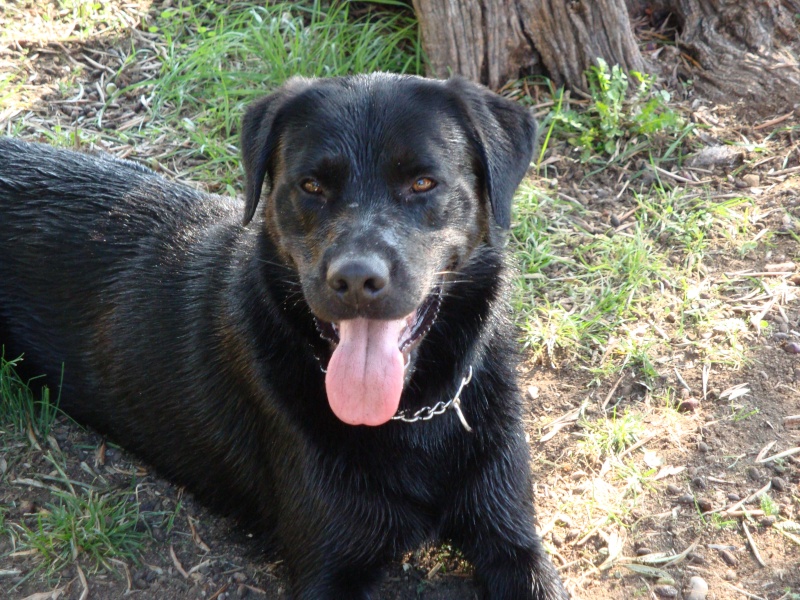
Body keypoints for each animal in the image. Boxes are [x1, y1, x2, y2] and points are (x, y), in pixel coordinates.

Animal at [1, 76, 568, 600]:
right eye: (311, 186)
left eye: (424, 182)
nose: (355, 280)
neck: (413, 416)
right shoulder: (329, 570)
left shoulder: (512, 539)